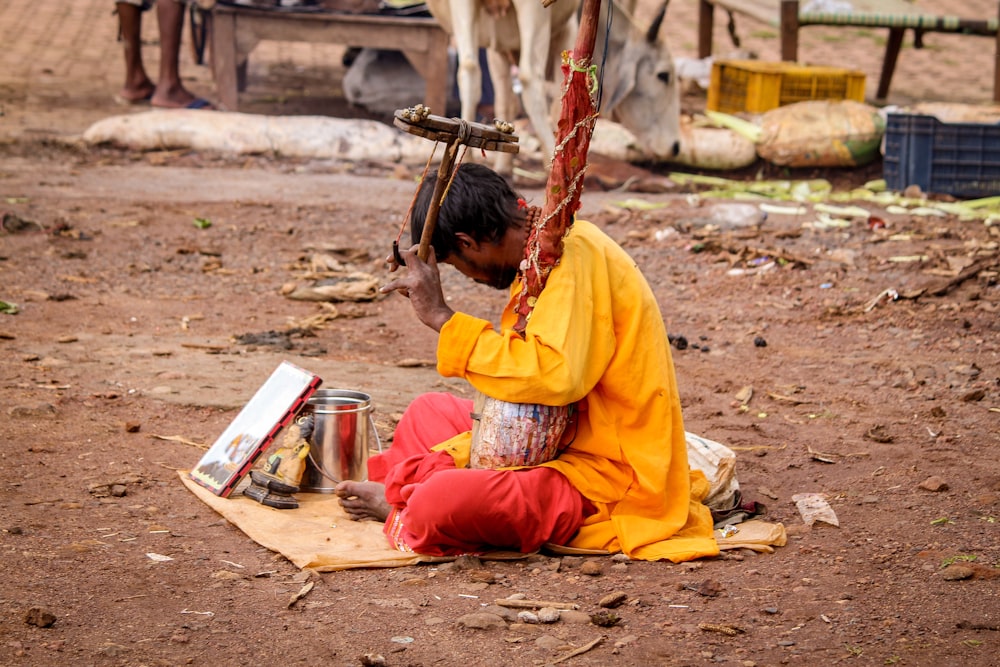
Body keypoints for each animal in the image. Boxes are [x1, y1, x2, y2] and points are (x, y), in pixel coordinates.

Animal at [422, 0, 680, 175]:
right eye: (663, 75)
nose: (675, 147)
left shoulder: (498, 49)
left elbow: (504, 100)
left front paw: (504, 165)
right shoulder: (568, 30)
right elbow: (563, 90)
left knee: (469, 69)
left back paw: (465, 157)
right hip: (534, 10)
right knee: (529, 76)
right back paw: (552, 158)